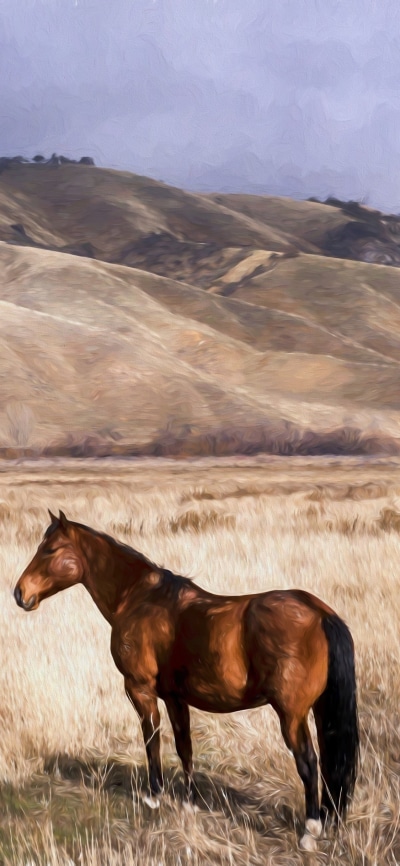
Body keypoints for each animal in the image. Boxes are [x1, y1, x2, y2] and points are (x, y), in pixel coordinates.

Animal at [14, 511, 359, 851]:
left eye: (50, 550)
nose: (19, 594)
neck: (138, 598)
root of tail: (320, 613)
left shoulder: (139, 689)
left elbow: (151, 739)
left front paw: (154, 796)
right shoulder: (175, 697)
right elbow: (184, 747)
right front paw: (190, 802)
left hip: (291, 715)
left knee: (309, 763)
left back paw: (310, 830)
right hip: (317, 711)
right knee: (329, 762)